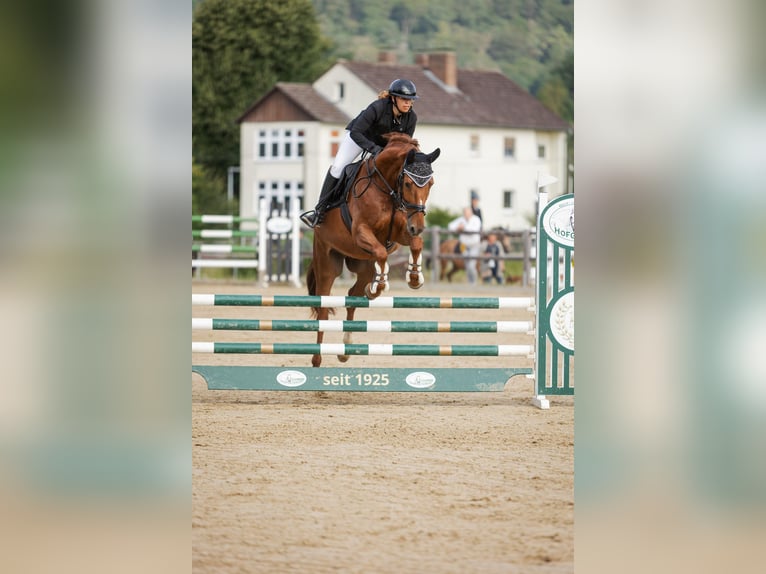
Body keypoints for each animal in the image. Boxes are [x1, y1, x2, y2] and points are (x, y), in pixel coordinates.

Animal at [306, 133, 440, 367]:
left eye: (430, 183)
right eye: (407, 183)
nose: (418, 227)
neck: (386, 186)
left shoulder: (399, 233)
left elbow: (415, 244)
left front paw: (414, 278)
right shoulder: (361, 231)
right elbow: (382, 253)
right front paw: (380, 286)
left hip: (363, 265)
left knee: (352, 296)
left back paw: (346, 348)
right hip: (327, 262)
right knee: (323, 306)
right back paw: (317, 358)